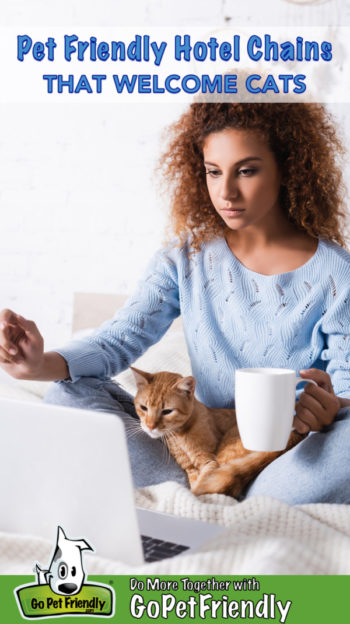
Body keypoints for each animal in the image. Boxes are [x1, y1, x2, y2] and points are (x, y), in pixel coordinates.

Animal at [130, 366, 304, 498]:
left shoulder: (209, 462)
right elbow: (196, 482)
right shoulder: (190, 470)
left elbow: (200, 486)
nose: (150, 426)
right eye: (143, 408)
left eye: (167, 411)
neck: (179, 437)